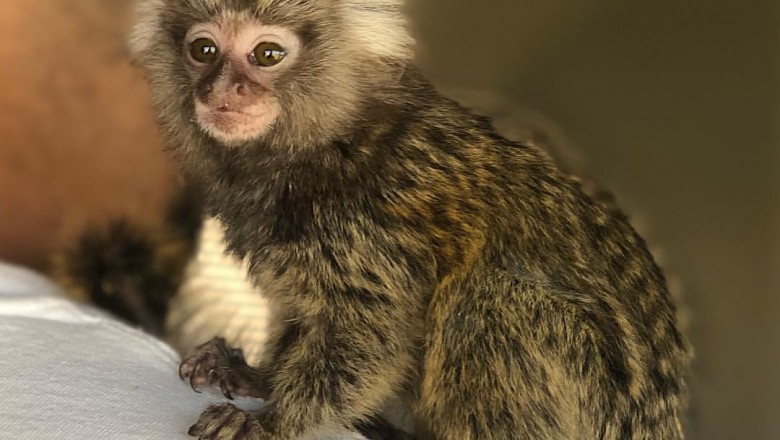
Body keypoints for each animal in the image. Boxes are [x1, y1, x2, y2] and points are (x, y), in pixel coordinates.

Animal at [129, 0, 691, 439]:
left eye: (267, 54)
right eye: (204, 51)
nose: (225, 90)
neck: (321, 145)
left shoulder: (366, 224)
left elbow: (374, 331)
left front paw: (272, 420)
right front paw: (258, 378)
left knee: (489, 295)